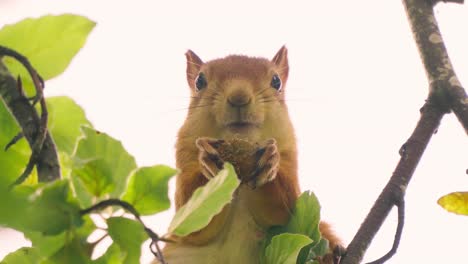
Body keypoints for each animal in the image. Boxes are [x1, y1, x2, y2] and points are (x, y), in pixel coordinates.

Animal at [159, 47, 342, 264]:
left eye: (276, 81)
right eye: (199, 81)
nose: (239, 97)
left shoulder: (289, 152)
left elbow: (283, 212)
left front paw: (270, 161)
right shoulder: (185, 153)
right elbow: (194, 226)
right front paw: (207, 159)